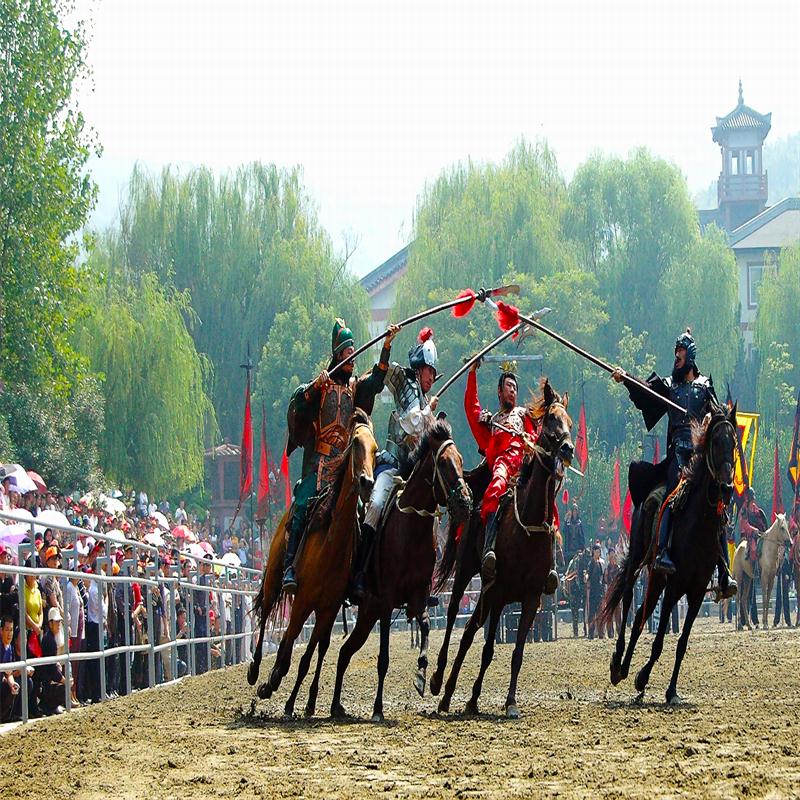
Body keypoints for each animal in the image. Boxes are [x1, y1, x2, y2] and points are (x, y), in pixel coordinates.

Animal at [247, 410, 378, 716]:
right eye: (356, 443)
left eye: (376, 449)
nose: (366, 482)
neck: (331, 544)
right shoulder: (303, 602)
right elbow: (288, 649)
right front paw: (270, 683)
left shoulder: (328, 609)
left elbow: (309, 656)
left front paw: (300, 701)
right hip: (274, 577)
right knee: (266, 612)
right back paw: (256, 670)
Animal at [328, 418, 472, 724]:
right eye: (444, 462)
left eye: (461, 460)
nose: (465, 504)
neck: (411, 529)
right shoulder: (385, 603)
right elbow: (383, 659)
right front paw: (378, 709)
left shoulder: (418, 597)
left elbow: (426, 626)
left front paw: (421, 675)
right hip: (367, 609)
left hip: (366, 615)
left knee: (344, 653)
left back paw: (336, 706)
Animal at [434, 380, 572, 720]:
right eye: (551, 419)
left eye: (570, 421)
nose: (568, 448)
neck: (528, 527)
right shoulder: (494, 590)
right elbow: (476, 641)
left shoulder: (530, 598)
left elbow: (516, 653)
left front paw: (510, 703)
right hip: (470, 576)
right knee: (458, 620)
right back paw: (440, 684)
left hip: (495, 598)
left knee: (478, 638)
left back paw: (466, 697)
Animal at [600, 404, 736, 704]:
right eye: (716, 442)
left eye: (734, 444)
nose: (727, 488)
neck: (700, 526)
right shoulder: (675, 587)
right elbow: (660, 639)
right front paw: (642, 678)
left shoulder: (696, 593)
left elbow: (681, 643)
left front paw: (671, 690)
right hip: (640, 561)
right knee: (628, 598)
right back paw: (617, 663)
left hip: (657, 579)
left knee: (641, 615)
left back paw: (624, 667)